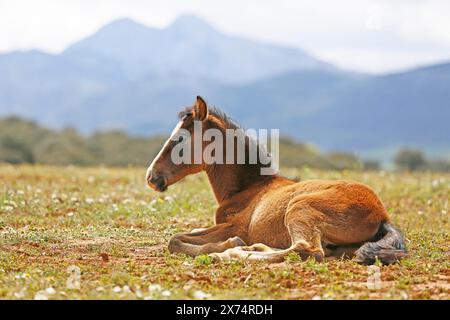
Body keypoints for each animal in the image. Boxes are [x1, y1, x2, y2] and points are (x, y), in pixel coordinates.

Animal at [146, 95, 406, 264]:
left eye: (180, 139)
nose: (151, 176)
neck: (250, 187)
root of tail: (382, 215)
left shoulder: (235, 226)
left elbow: (175, 240)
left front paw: (229, 245)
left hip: (300, 209)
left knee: (307, 250)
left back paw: (232, 253)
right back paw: (254, 247)